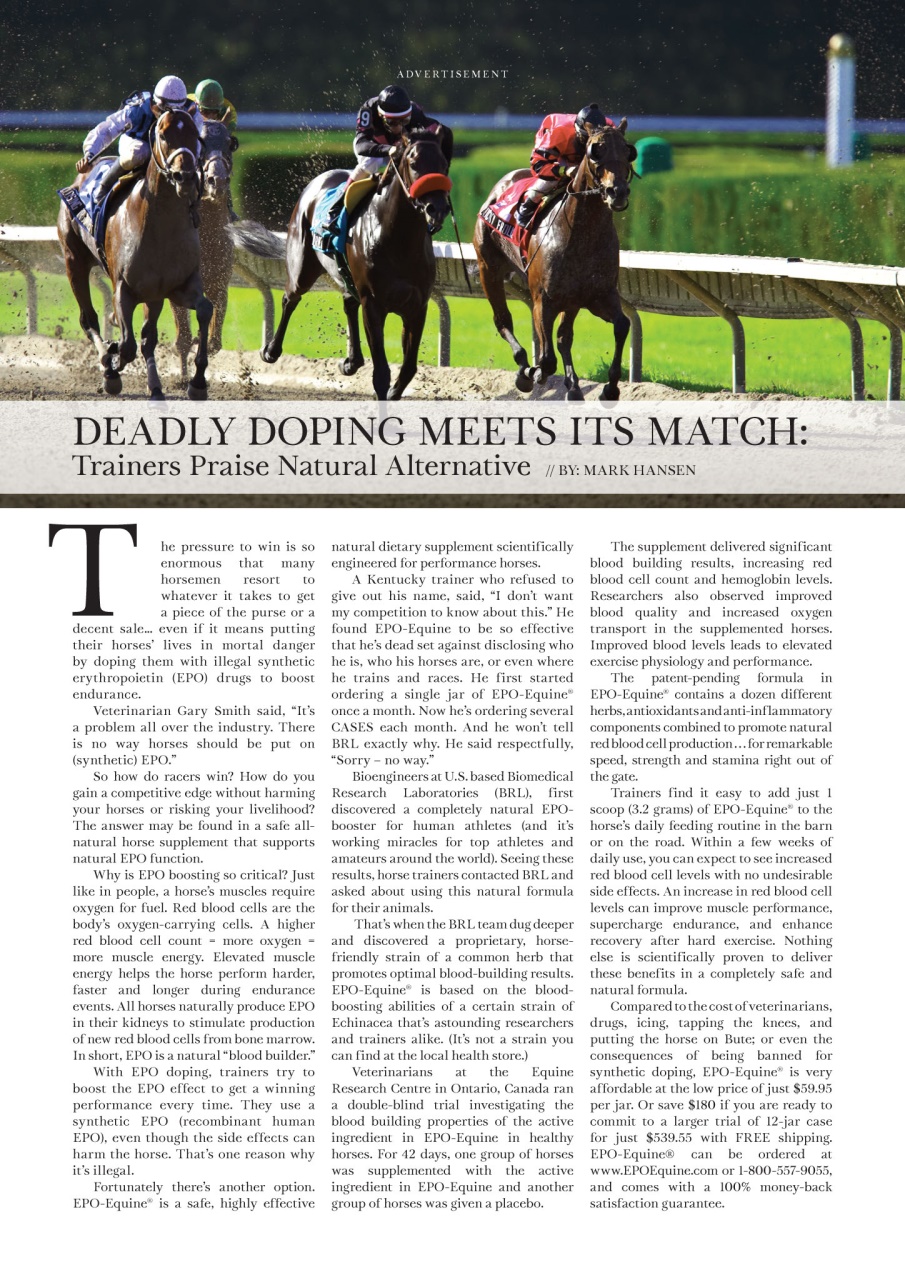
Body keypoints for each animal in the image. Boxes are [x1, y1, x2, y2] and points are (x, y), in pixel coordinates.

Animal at [57, 109, 213, 400]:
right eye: (163, 134)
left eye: (195, 134)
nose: (185, 176)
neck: (161, 227)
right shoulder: (123, 288)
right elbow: (127, 344)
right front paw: (113, 364)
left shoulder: (178, 286)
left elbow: (205, 310)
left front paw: (198, 381)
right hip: (74, 260)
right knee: (88, 319)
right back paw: (108, 363)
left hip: (154, 295)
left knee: (147, 338)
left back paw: (155, 387)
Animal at [252, 127, 453, 400]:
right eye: (413, 163)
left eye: (443, 164)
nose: (437, 208)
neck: (399, 239)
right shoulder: (373, 303)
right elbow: (381, 372)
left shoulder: (417, 306)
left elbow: (409, 367)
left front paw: (393, 392)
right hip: (301, 265)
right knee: (290, 299)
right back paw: (271, 350)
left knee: (348, 302)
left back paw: (352, 361)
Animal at [473, 118, 635, 401]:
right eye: (596, 151)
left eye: (627, 151)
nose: (618, 192)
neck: (581, 235)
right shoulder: (543, 300)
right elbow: (547, 359)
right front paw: (534, 372)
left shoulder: (599, 295)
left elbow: (622, 325)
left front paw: (610, 387)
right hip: (488, 269)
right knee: (503, 320)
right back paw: (524, 368)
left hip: (571, 300)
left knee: (563, 336)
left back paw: (574, 386)